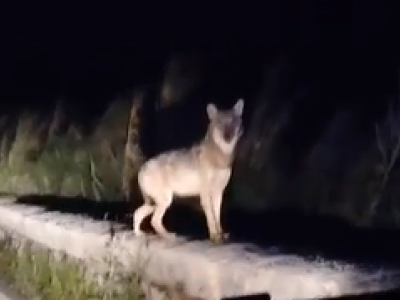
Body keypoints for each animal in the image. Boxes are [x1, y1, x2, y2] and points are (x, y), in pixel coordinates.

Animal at [134, 99, 244, 243]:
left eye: (233, 121)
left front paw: (221, 234)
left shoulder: (218, 192)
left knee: (137, 214)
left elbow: (217, 216)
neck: (221, 157)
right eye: (220, 123)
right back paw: (168, 236)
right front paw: (215, 237)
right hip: (164, 200)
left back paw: (138, 234)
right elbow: (211, 218)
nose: (227, 136)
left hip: (155, 203)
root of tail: (141, 169)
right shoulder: (205, 193)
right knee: (154, 220)